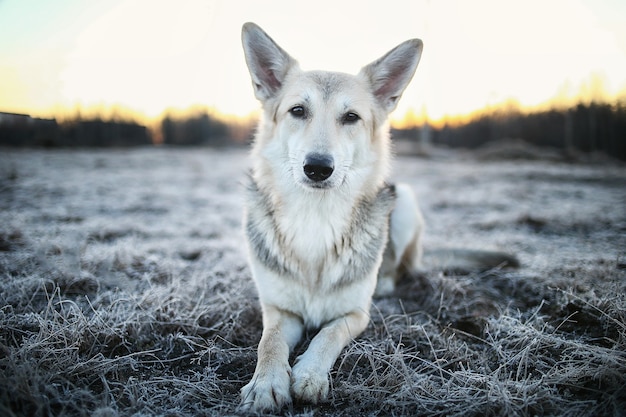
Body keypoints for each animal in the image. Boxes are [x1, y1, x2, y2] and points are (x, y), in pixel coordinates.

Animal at [236, 22, 516, 410]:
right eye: (298, 111)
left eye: (351, 117)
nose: (318, 168)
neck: (316, 218)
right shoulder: (279, 310)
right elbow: (270, 343)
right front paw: (265, 384)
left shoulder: (355, 314)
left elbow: (328, 335)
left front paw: (310, 374)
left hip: (405, 200)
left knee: (401, 267)